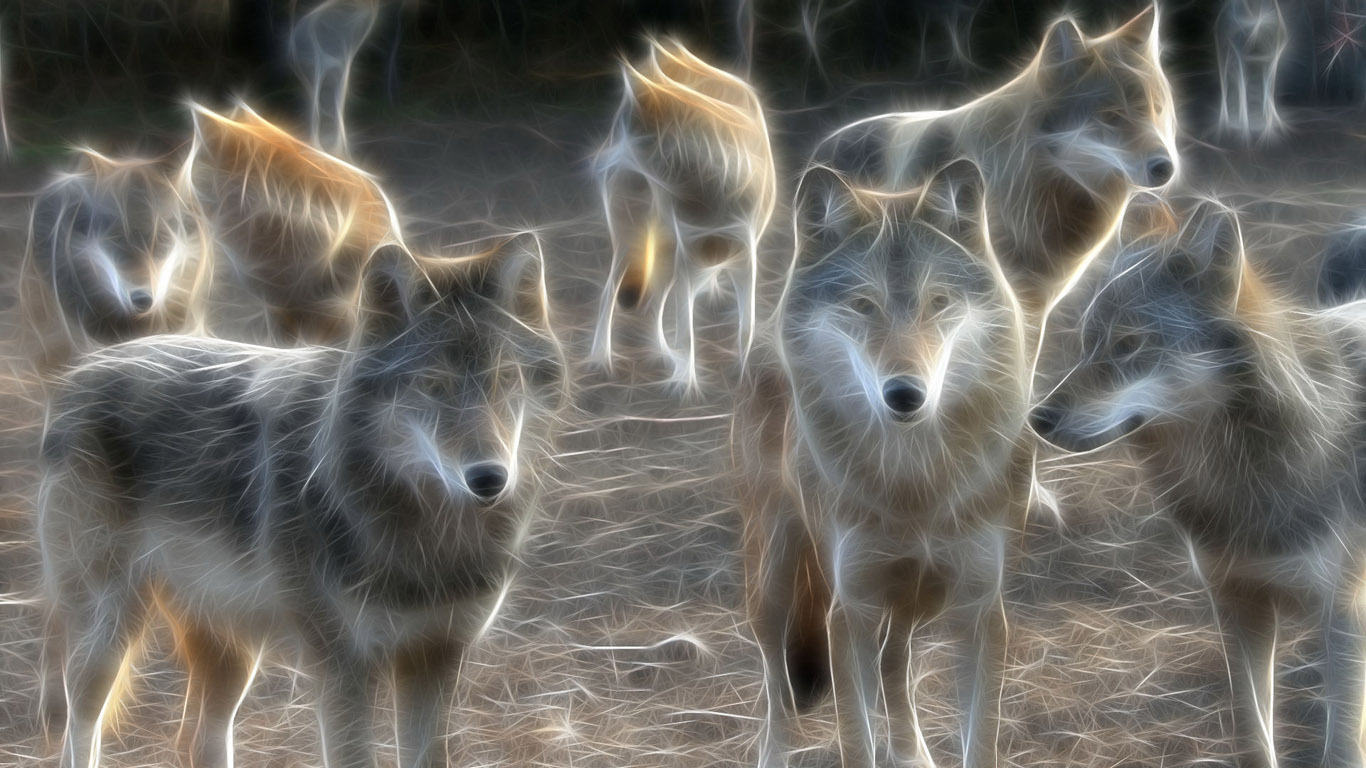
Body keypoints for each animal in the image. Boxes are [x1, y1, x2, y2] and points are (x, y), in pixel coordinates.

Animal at [38, 235, 565, 768]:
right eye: (433, 385)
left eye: (506, 380)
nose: (489, 478)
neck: (429, 535)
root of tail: (84, 368)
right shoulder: (343, 668)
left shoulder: (435, 657)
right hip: (106, 635)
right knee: (80, 731)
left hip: (232, 650)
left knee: (193, 740)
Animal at [589, 36, 777, 391]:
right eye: (617, 129)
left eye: (626, 133)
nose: (598, 157)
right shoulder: (687, 257)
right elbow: (686, 328)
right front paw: (686, 382)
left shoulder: (742, 256)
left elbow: (744, 327)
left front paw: (741, 375)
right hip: (635, 238)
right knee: (615, 293)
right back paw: (602, 358)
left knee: (653, 301)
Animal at [735, 159, 1030, 768]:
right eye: (862, 305)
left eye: (938, 303)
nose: (905, 395)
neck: (914, 483)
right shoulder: (849, 613)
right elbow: (855, 738)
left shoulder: (980, 610)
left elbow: (979, 740)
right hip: (773, 581)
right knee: (776, 683)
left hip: (918, 596)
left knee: (895, 661)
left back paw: (913, 752)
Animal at [1031, 194, 1366, 768]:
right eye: (1088, 343)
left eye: (1130, 344)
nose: (1038, 418)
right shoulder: (1236, 604)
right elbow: (1253, 733)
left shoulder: (1343, 615)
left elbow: (1342, 745)